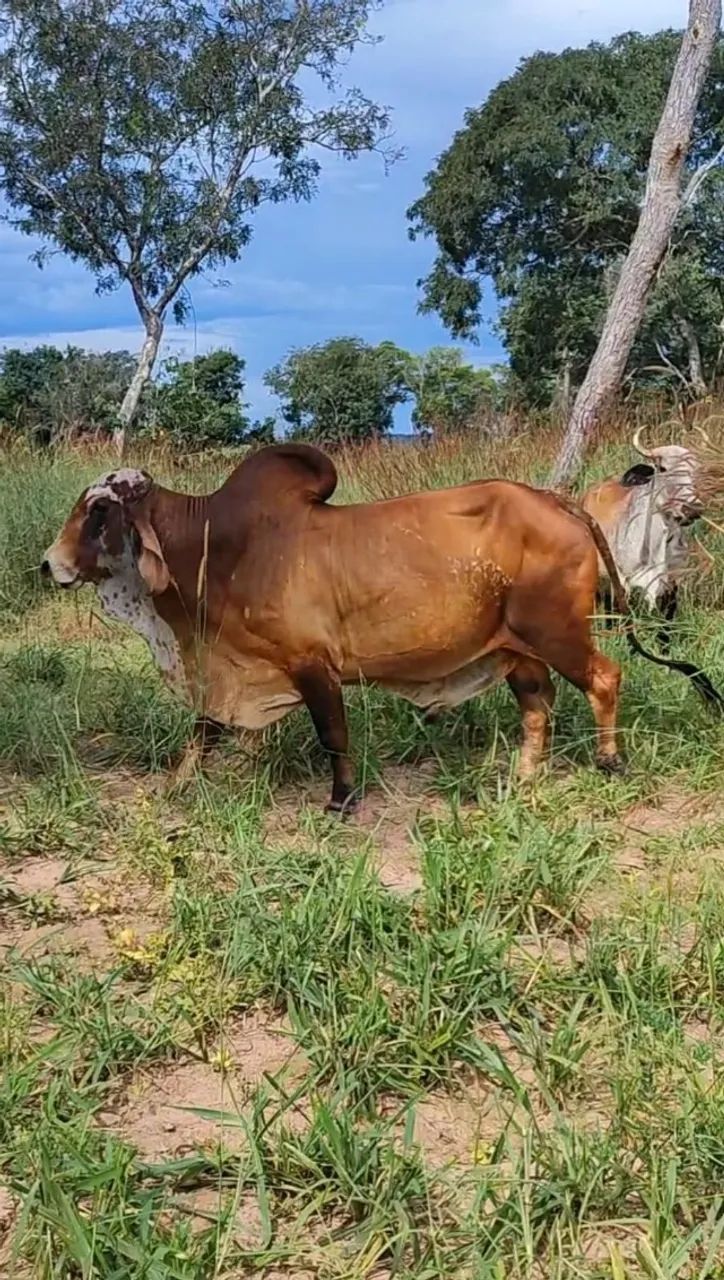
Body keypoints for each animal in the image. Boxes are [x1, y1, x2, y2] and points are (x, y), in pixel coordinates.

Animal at [582, 428, 703, 649]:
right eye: (662, 468)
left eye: (695, 470)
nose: (692, 509)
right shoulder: (622, 579)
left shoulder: (673, 579)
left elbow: (667, 619)